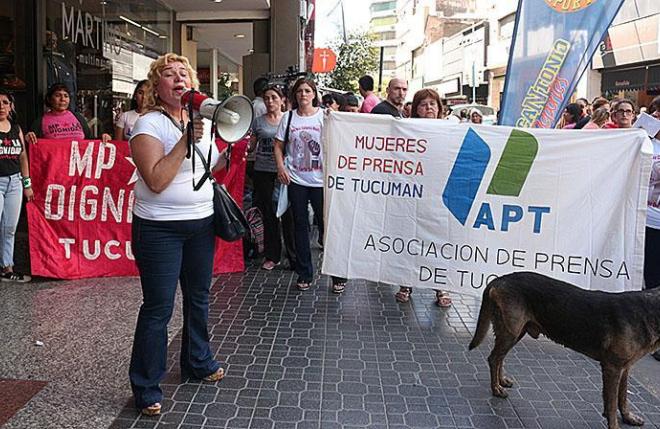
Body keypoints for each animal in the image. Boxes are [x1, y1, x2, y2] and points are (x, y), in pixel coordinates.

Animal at [469, 272, 660, 429]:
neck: (648, 311)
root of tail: (499, 280)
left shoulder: (625, 368)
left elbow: (622, 397)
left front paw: (628, 417)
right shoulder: (612, 368)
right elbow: (612, 404)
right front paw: (614, 424)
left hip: (516, 331)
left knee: (500, 357)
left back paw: (501, 381)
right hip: (511, 331)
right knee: (494, 358)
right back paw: (496, 388)